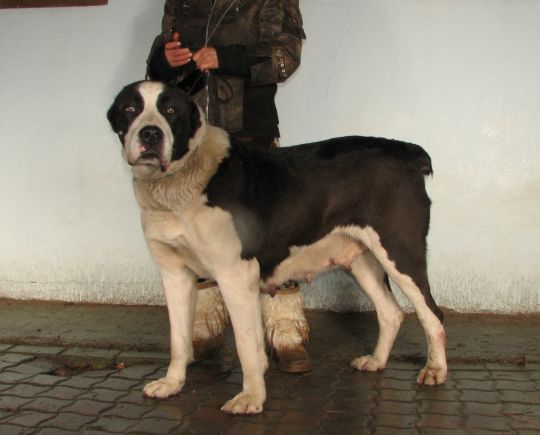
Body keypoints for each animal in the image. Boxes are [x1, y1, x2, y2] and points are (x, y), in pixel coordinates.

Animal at [106, 79, 448, 416]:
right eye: (130, 108)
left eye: (171, 110)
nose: (151, 134)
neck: (179, 185)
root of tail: (405, 151)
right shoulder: (175, 275)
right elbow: (180, 338)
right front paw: (172, 383)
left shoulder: (235, 274)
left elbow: (244, 344)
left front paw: (250, 398)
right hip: (362, 260)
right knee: (392, 312)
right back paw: (376, 361)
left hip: (400, 252)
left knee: (432, 313)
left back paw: (435, 370)